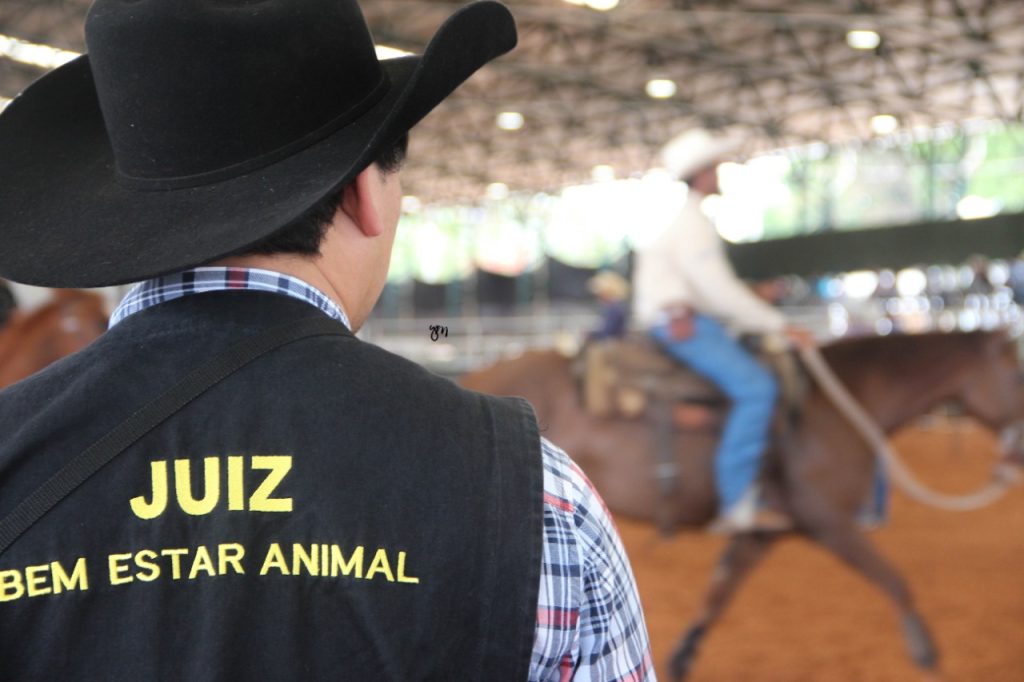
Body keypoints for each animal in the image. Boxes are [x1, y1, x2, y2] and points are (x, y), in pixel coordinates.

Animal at [462, 329, 1024, 675]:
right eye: (1017, 374)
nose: (1015, 455)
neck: (834, 405)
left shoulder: (762, 532)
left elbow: (719, 593)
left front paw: (684, 656)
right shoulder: (830, 522)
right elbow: (892, 577)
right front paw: (925, 651)